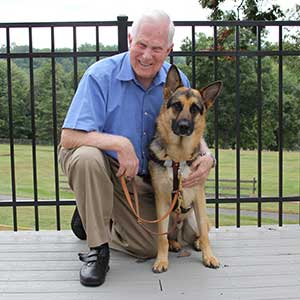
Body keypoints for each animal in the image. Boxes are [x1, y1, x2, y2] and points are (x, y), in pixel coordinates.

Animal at [149, 64, 221, 274]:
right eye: (177, 106)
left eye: (195, 109)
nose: (183, 126)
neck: (178, 158)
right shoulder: (161, 200)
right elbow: (162, 237)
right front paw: (161, 260)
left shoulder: (199, 196)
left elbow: (205, 233)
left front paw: (208, 257)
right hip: (170, 219)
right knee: (170, 236)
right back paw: (174, 244)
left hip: (195, 219)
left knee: (201, 231)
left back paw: (196, 243)